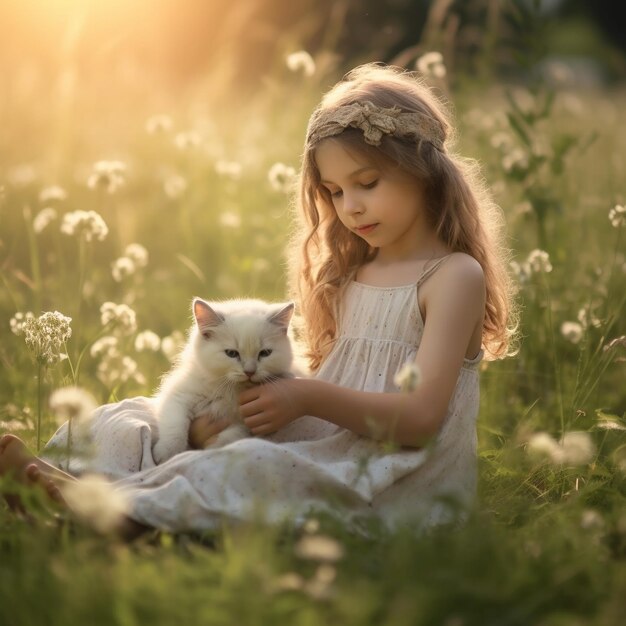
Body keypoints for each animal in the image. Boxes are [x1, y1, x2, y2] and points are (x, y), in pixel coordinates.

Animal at [152, 298, 296, 464]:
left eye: (265, 353)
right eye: (232, 354)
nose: (249, 372)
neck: (231, 390)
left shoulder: (249, 421)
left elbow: (230, 438)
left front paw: (211, 452)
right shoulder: (178, 396)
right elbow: (175, 426)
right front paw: (166, 454)